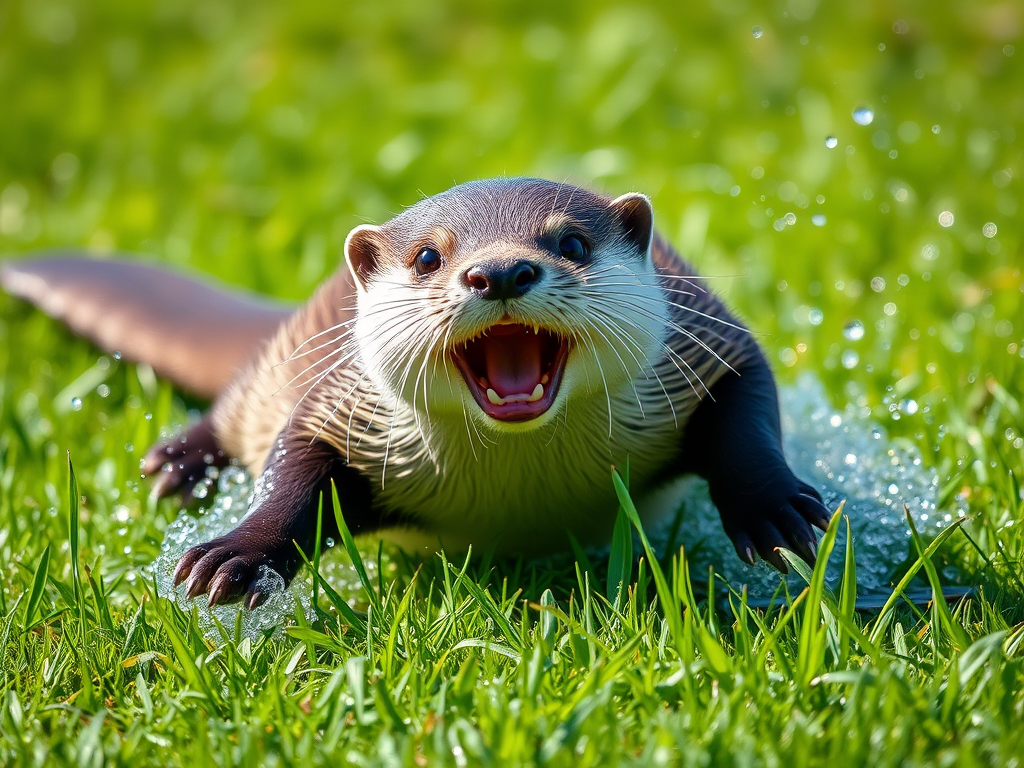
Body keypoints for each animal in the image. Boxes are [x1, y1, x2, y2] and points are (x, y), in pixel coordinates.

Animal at [1, 178, 830, 609]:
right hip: (279, 364)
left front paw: (775, 510)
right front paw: (235, 555)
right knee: (239, 407)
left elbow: (749, 416)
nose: (500, 271)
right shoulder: (342, 407)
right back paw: (179, 465)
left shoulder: (711, 344)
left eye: (571, 242)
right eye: (429, 256)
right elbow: (293, 473)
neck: (525, 490)